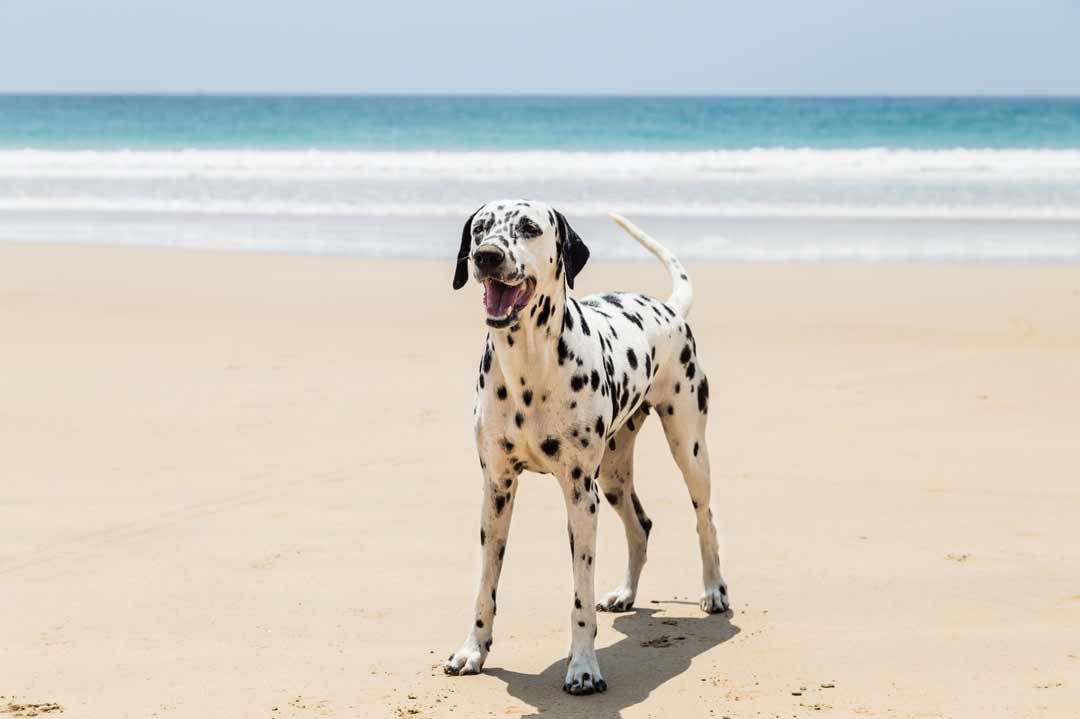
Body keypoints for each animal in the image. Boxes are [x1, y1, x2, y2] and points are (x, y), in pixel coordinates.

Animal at [442, 198, 730, 690]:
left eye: (529, 227)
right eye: (481, 228)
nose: (487, 256)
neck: (528, 366)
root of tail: (669, 308)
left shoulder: (579, 495)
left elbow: (579, 594)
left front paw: (582, 667)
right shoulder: (496, 491)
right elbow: (485, 587)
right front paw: (472, 650)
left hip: (688, 448)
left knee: (705, 519)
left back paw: (713, 590)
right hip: (612, 477)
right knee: (640, 526)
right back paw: (625, 594)